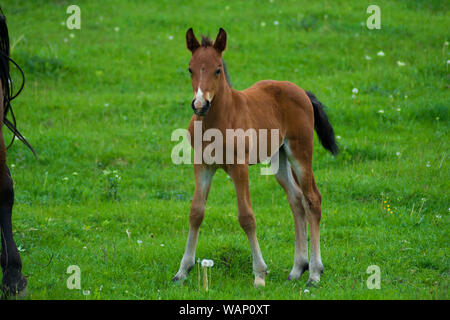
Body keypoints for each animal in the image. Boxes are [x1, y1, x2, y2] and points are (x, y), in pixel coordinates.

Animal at [172, 28, 338, 288]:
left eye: (217, 69)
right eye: (190, 68)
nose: (200, 105)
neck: (219, 120)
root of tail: (301, 91)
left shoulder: (239, 167)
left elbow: (246, 217)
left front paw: (259, 273)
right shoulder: (202, 165)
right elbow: (196, 212)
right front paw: (183, 270)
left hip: (300, 151)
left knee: (312, 198)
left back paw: (314, 273)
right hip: (278, 157)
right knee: (296, 199)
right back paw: (297, 268)